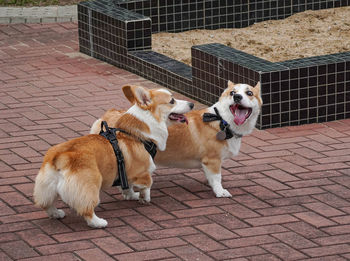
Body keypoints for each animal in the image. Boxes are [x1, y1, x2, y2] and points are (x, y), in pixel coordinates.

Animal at [33, 84, 193, 226]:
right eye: (172, 101)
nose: (192, 104)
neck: (139, 133)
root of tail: (60, 157)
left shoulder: (125, 174)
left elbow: (127, 187)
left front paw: (132, 196)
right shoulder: (142, 171)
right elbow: (147, 184)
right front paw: (144, 198)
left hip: (47, 187)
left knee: (46, 203)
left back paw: (56, 213)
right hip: (89, 185)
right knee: (86, 209)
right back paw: (98, 222)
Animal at [91, 81, 262, 197]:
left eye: (249, 93)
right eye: (232, 93)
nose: (238, 97)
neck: (222, 120)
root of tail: (107, 116)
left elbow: (212, 177)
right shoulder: (212, 160)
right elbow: (216, 177)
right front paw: (220, 192)